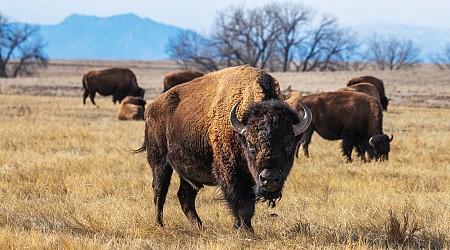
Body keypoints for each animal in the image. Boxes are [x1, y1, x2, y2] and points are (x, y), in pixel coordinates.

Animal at [134, 65, 312, 230]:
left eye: (288, 145)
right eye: (251, 146)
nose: (269, 178)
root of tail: (152, 107)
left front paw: (245, 228)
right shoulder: (230, 173)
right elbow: (241, 204)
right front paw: (244, 229)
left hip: (187, 172)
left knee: (185, 196)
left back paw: (199, 226)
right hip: (159, 162)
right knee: (160, 191)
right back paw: (159, 224)